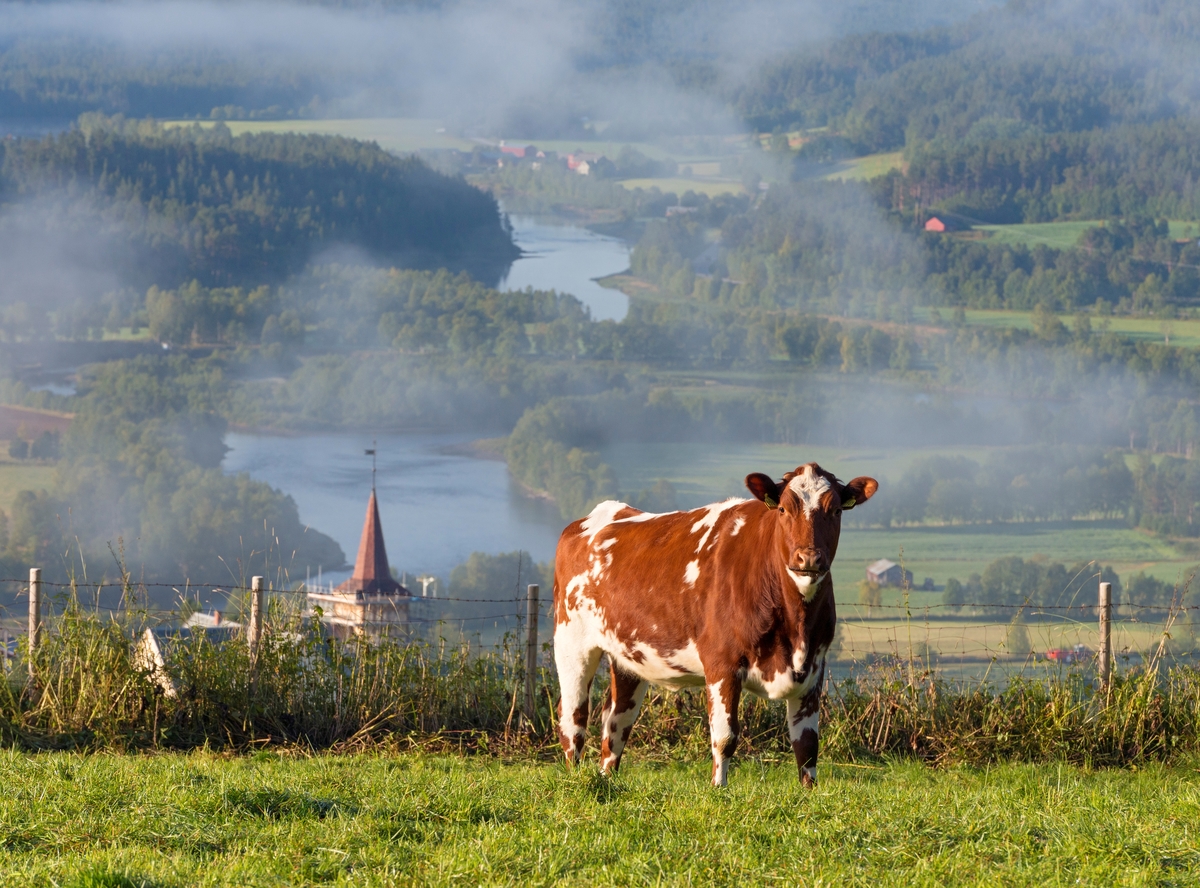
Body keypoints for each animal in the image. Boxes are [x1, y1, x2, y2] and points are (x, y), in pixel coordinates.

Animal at [549, 465, 873, 782]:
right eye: (782, 509)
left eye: (836, 511)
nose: (808, 558)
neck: (795, 627)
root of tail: (595, 516)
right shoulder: (722, 661)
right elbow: (725, 736)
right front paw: (719, 788)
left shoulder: (815, 665)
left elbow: (807, 744)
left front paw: (809, 792)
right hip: (571, 642)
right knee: (573, 716)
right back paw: (575, 779)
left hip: (627, 655)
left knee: (616, 720)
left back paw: (607, 780)